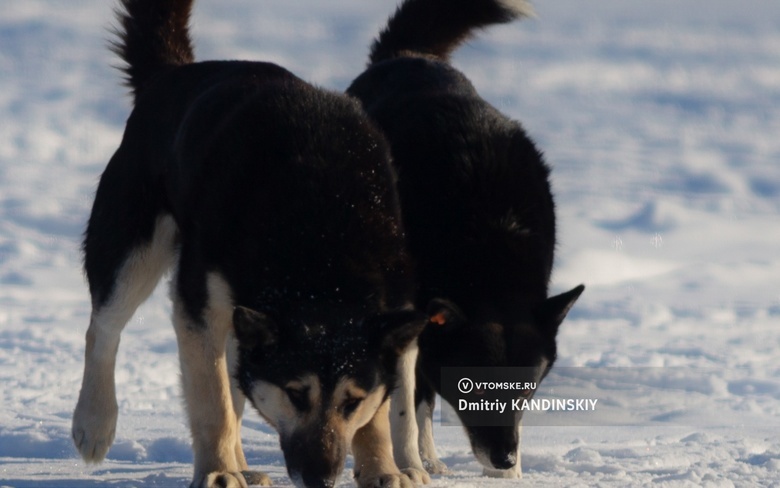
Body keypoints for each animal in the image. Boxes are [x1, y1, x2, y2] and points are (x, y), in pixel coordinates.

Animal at [71, 0, 426, 488]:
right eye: (295, 393)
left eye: (351, 401)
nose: (320, 478)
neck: (322, 248)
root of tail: (173, 74)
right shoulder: (198, 307)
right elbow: (214, 403)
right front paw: (218, 471)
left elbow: (378, 413)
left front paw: (381, 470)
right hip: (132, 253)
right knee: (104, 330)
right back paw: (95, 422)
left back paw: (246, 467)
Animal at [348, 0, 584, 478]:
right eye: (470, 387)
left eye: (525, 392)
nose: (504, 456)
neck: (489, 243)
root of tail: (407, 54)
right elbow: (403, 408)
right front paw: (409, 467)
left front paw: (507, 476)